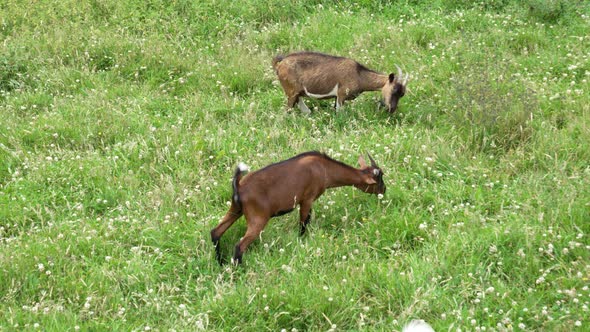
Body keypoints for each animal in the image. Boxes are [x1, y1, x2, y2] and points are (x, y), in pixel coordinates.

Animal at [210, 151, 386, 264]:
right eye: (379, 179)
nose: (384, 190)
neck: (324, 168)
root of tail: (239, 186)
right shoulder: (307, 199)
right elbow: (303, 223)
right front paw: (301, 241)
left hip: (236, 209)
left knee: (215, 232)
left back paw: (221, 262)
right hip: (257, 218)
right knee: (239, 246)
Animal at [274, 51, 410, 114]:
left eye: (402, 94)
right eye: (393, 90)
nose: (391, 109)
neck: (359, 74)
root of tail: (280, 64)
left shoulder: (337, 97)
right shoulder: (341, 94)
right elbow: (340, 113)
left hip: (297, 92)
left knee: (304, 109)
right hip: (291, 91)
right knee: (287, 111)